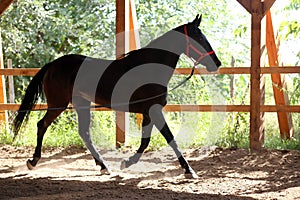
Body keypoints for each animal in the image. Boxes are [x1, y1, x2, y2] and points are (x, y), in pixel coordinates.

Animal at [12, 14, 221, 179]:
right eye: (198, 38)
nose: (217, 63)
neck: (150, 68)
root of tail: (53, 64)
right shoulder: (153, 111)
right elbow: (170, 139)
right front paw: (189, 170)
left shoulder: (148, 112)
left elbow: (145, 141)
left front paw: (126, 162)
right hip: (59, 103)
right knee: (42, 125)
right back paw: (33, 161)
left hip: (81, 103)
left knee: (84, 133)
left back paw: (104, 166)